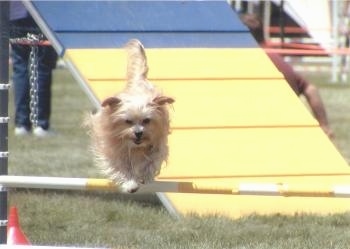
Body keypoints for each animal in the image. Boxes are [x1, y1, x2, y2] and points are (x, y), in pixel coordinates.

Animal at [85, 40, 175, 194]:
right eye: (128, 121)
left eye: (146, 120)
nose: (138, 133)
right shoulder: (112, 148)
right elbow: (121, 166)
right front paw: (130, 183)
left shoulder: (158, 144)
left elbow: (152, 160)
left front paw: (145, 174)